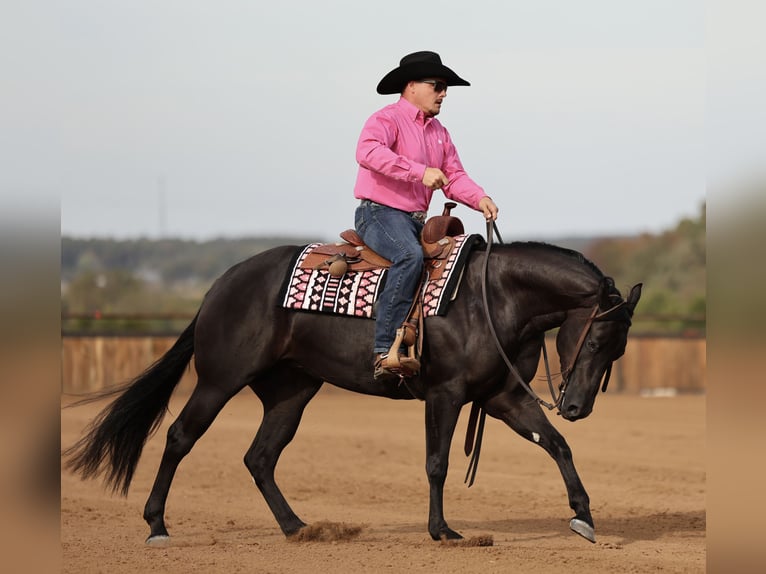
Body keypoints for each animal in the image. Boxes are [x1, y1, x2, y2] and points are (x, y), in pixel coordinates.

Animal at [64, 234, 641, 545]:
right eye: (596, 340)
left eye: (617, 352)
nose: (576, 406)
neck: (490, 299)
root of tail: (221, 286)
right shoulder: (446, 394)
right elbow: (437, 463)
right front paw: (442, 531)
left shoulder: (504, 398)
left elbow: (557, 446)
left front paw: (584, 516)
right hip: (220, 380)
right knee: (180, 437)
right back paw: (157, 525)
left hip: (292, 392)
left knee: (260, 457)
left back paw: (297, 527)